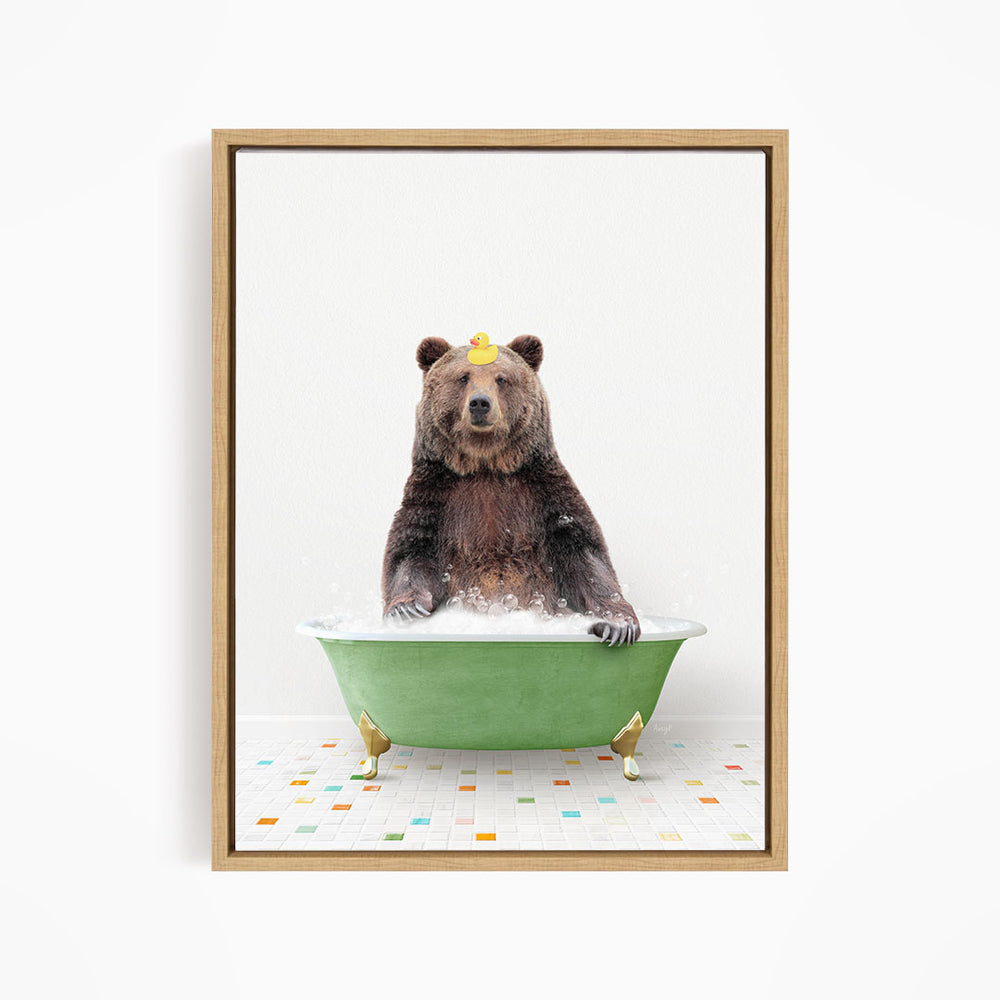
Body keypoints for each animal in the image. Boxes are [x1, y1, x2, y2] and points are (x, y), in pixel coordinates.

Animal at [382, 334, 641, 646]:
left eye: (502, 378)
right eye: (463, 377)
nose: (480, 403)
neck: (486, 464)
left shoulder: (543, 493)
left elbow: (585, 555)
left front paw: (617, 625)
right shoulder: (435, 495)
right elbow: (410, 552)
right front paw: (406, 609)